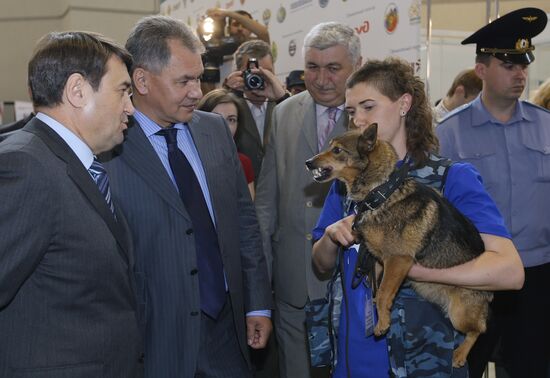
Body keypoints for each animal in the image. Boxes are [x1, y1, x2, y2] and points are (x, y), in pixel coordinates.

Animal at [308, 125, 494, 370]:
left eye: (337, 150)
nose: (308, 162)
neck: (380, 193)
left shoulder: (398, 260)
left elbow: (384, 292)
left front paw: (382, 322)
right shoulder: (378, 262)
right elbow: (378, 289)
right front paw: (380, 311)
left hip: (460, 314)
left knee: (479, 330)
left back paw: (460, 354)